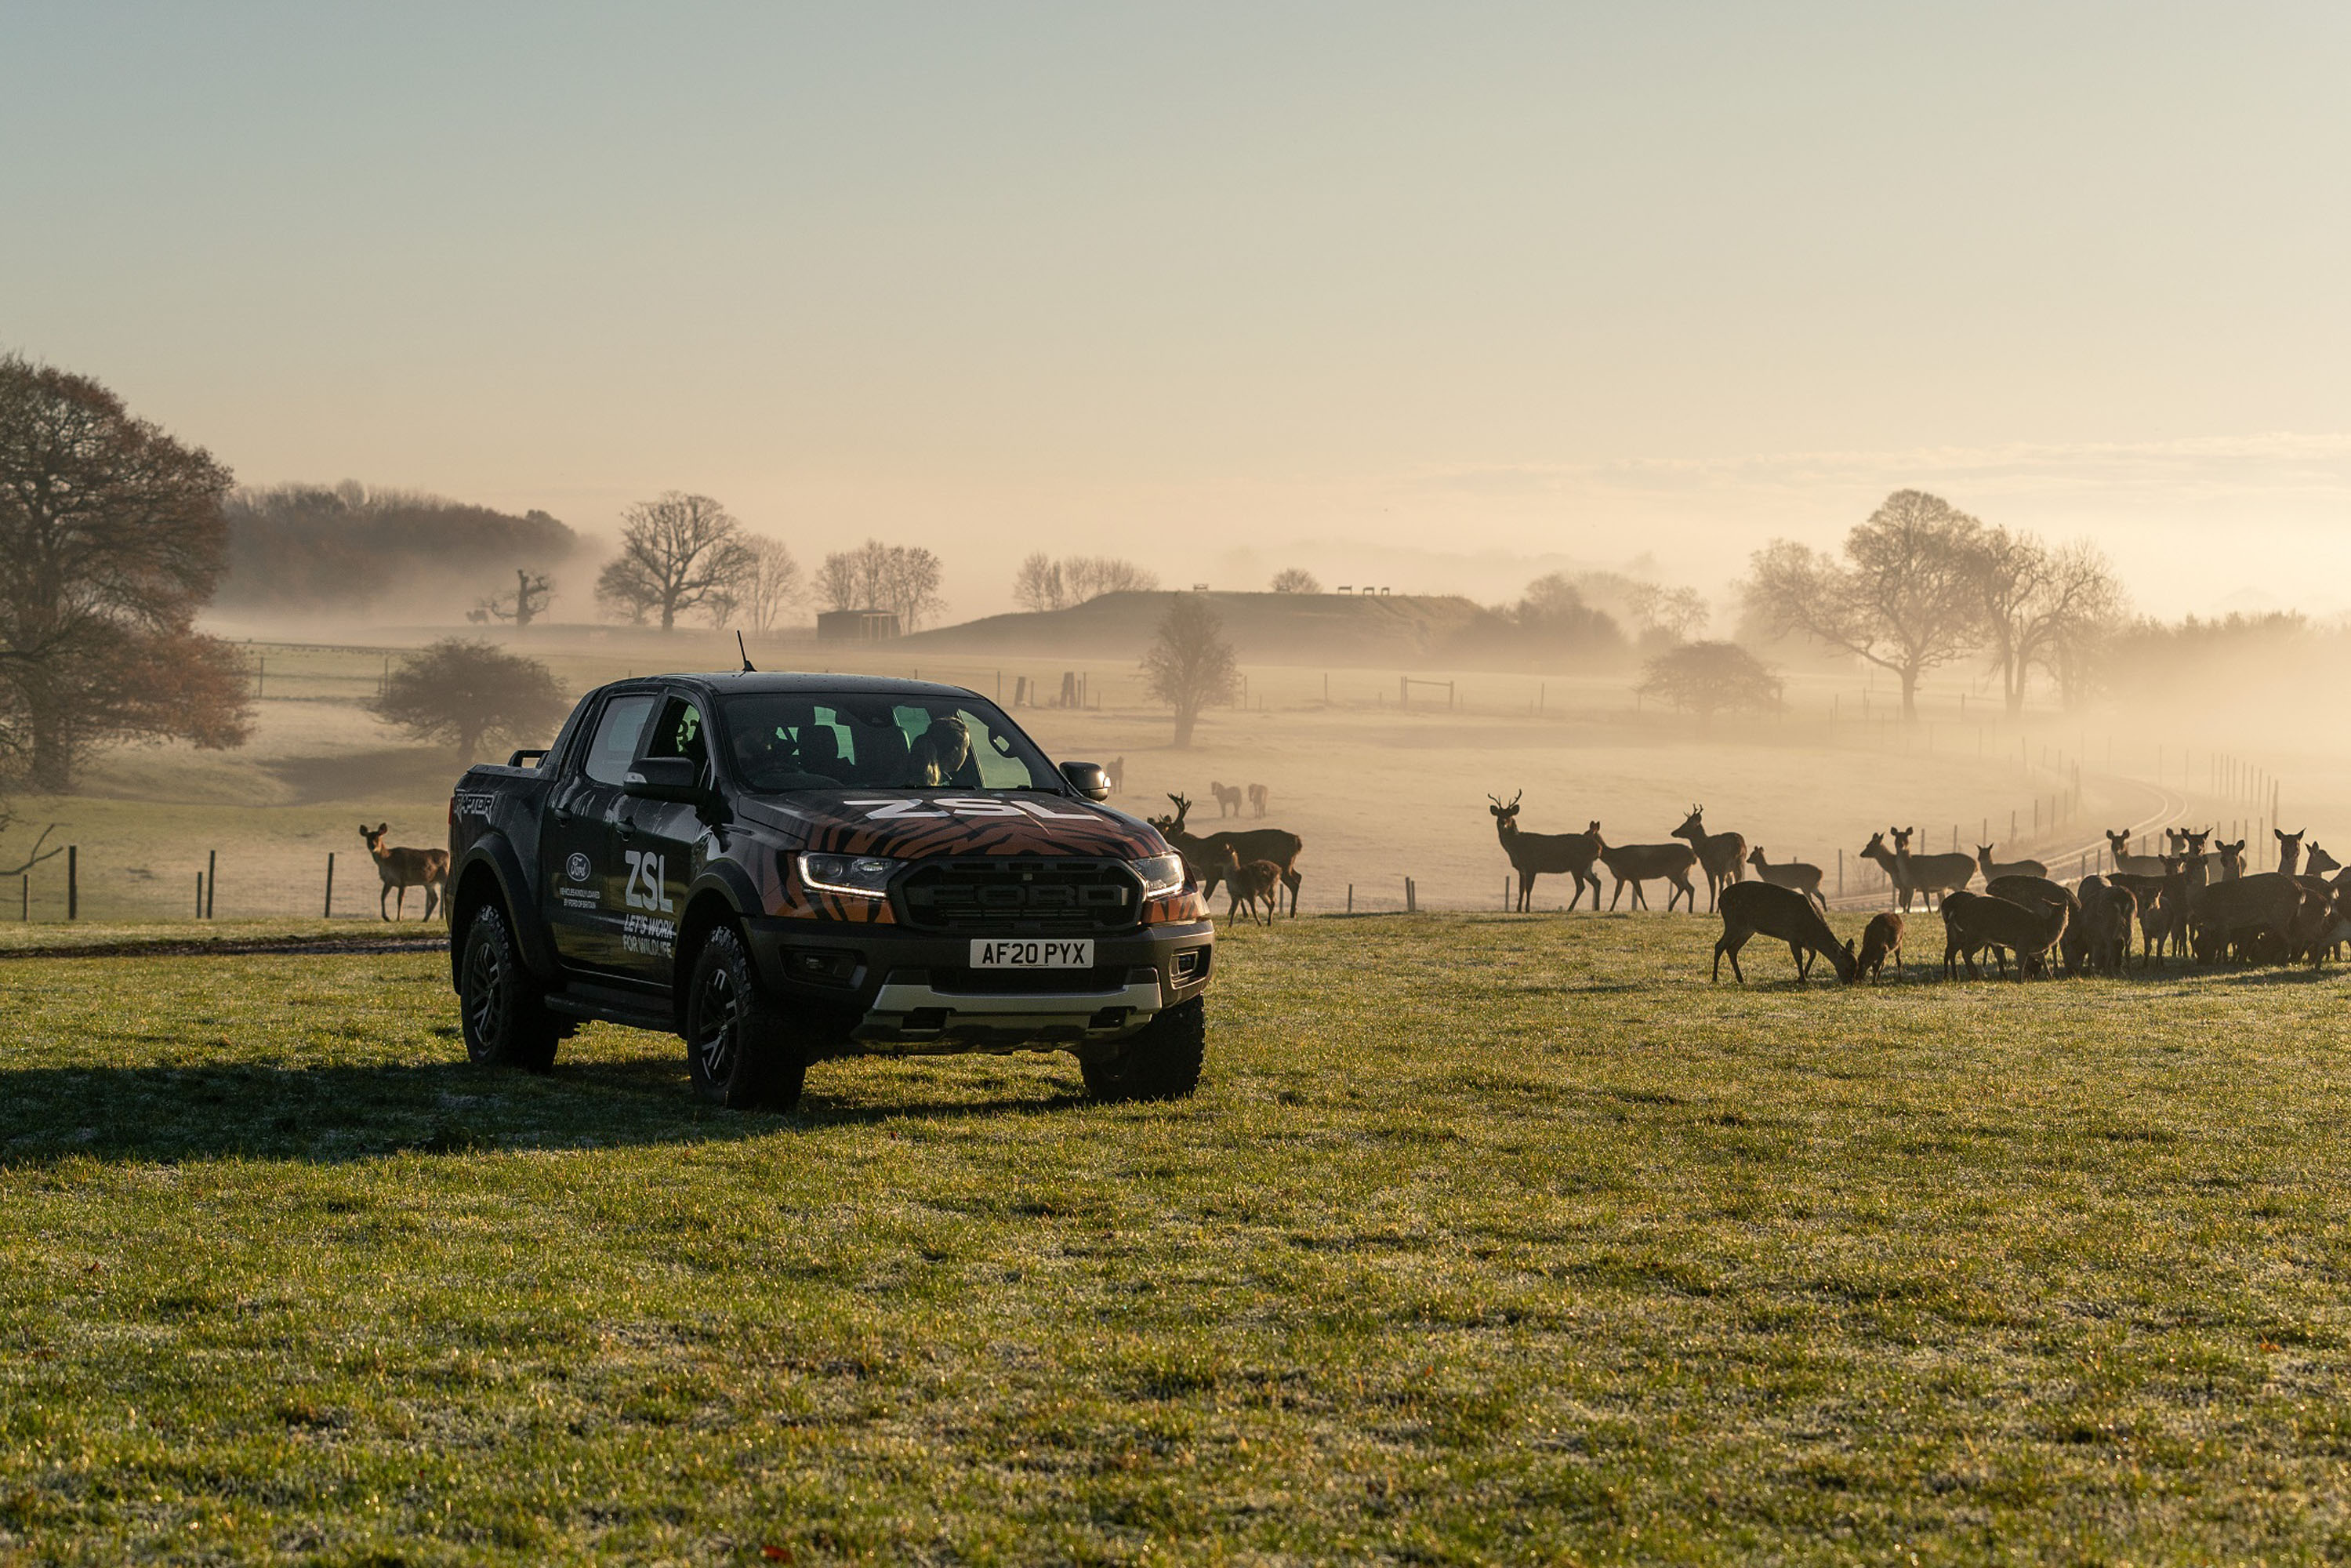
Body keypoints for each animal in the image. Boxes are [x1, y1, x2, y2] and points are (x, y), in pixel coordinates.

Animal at [1495, 789, 1608, 912]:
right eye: (1499, 815)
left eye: (1510, 815)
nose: (1503, 823)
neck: (1517, 847)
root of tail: (1599, 848)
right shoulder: (1522, 869)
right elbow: (1521, 889)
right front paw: (1519, 909)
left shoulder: (1532, 866)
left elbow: (1528, 889)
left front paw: (1527, 909)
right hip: (1586, 867)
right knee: (1597, 882)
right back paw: (1596, 908)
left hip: (1578, 865)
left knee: (1581, 886)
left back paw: (1570, 908)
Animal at [1589, 827, 1702, 912]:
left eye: (1587, 833)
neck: (1614, 859)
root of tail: (1693, 855)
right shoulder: (1622, 878)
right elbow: (1617, 894)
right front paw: (1611, 909)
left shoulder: (1633, 875)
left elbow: (1640, 893)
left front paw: (1646, 909)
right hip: (1684, 872)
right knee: (1690, 888)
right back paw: (1689, 910)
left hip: (1675, 871)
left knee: (1682, 887)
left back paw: (1671, 907)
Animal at [1674, 808, 1749, 921]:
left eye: (1687, 824)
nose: (1674, 832)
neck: (1702, 849)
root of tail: (1739, 846)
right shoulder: (1727, 871)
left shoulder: (1709, 868)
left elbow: (1713, 888)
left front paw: (1711, 910)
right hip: (1739, 864)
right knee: (1738, 881)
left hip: (1724, 864)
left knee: (1721, 887)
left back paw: (1718, 910)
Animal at [1711, 884, 1852, 982]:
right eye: (1847, 967)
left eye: (1855, 966)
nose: (1850, 983)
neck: (1810, 929)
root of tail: (1720, 899)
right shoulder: (1793, 936)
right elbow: (1799, 958)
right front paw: (1802, 979)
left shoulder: (1805, 941)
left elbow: (1813, 954)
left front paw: (1803, 975)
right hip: (1733, 922)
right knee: (1719, 945)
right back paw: (1715, 978)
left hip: (1747, 930)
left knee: (1732, 949)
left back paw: (1740, 979)